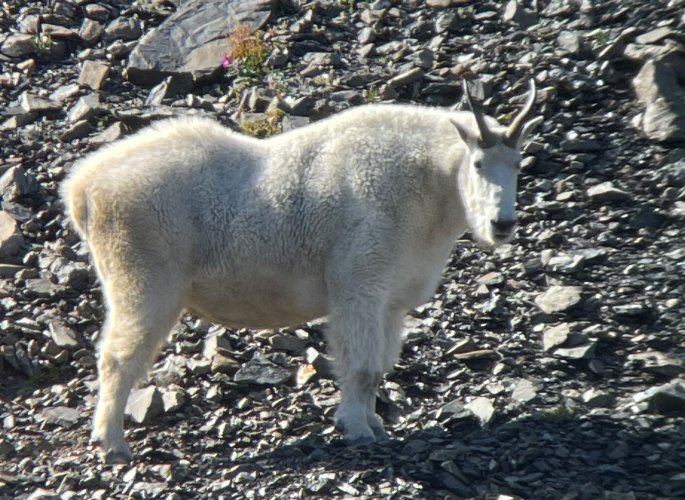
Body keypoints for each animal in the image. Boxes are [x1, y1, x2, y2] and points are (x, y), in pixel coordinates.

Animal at [61, 79, 542, 463]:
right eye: (478, 164)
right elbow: (361, 366)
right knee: (117, 358)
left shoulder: (390, 302)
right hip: (142, 281)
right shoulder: (358, 285)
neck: (430, 183)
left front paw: (374, 424)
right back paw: (112, 444)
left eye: (518, 165)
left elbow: (379, 367)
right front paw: (357, 429)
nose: (502, 224)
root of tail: (82, 188)